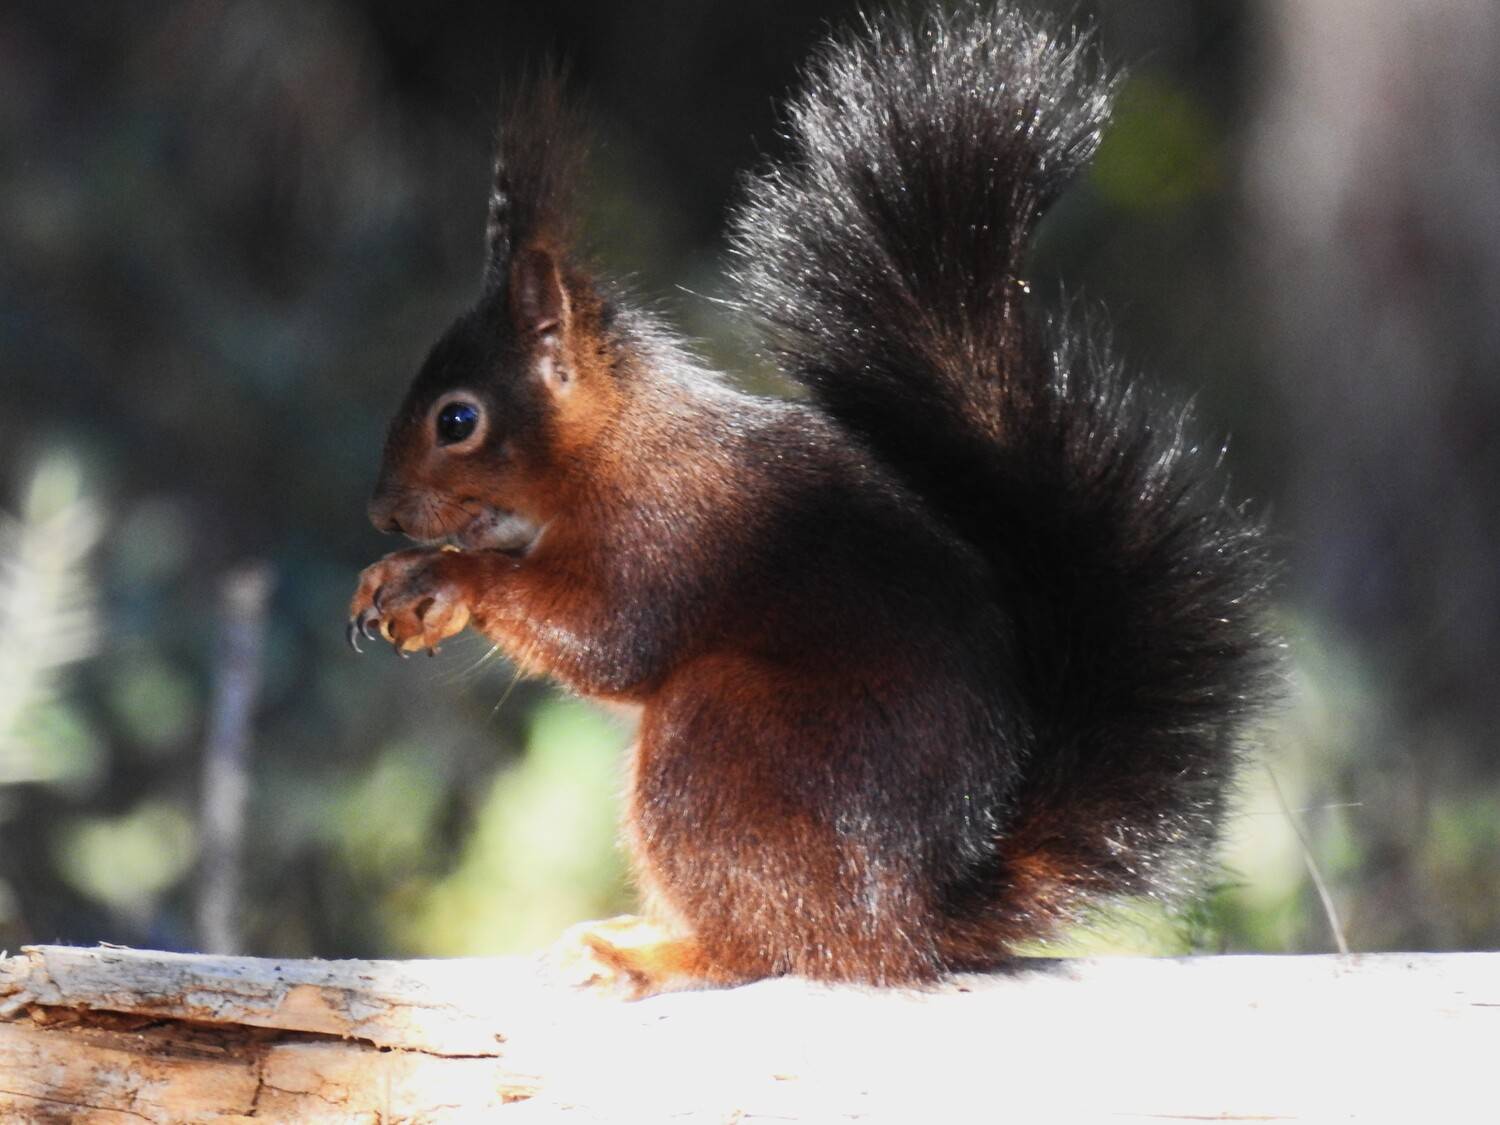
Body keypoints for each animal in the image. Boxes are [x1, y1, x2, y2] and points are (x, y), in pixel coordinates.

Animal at [348, 4, 1277, 996]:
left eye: (458, 419)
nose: (383, 513)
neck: (615, 446)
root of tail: (913, 918)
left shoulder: (670, 530)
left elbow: (610, 641)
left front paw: (445, 578)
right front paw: (394, 579)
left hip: (721, 740)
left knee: (765, 944)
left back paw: (646, 951)